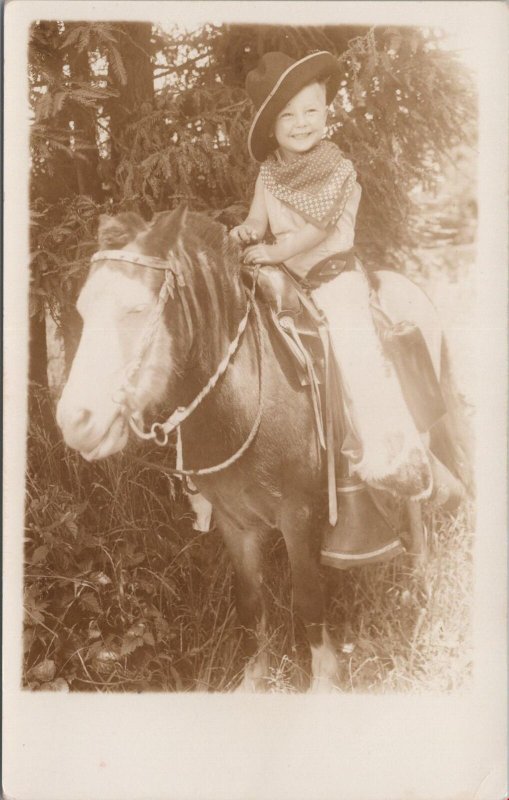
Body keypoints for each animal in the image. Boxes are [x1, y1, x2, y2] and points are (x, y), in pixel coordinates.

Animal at [56, 208, 468, 692]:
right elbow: (250, 601)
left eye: (137, 310)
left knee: (419, 500)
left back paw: (417, 583)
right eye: (83, 309)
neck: (246, 394)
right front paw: (254, 679)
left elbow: (307, 596)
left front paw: (324, 679)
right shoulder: (235, 522)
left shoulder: (299, 516)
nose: (75, 421)